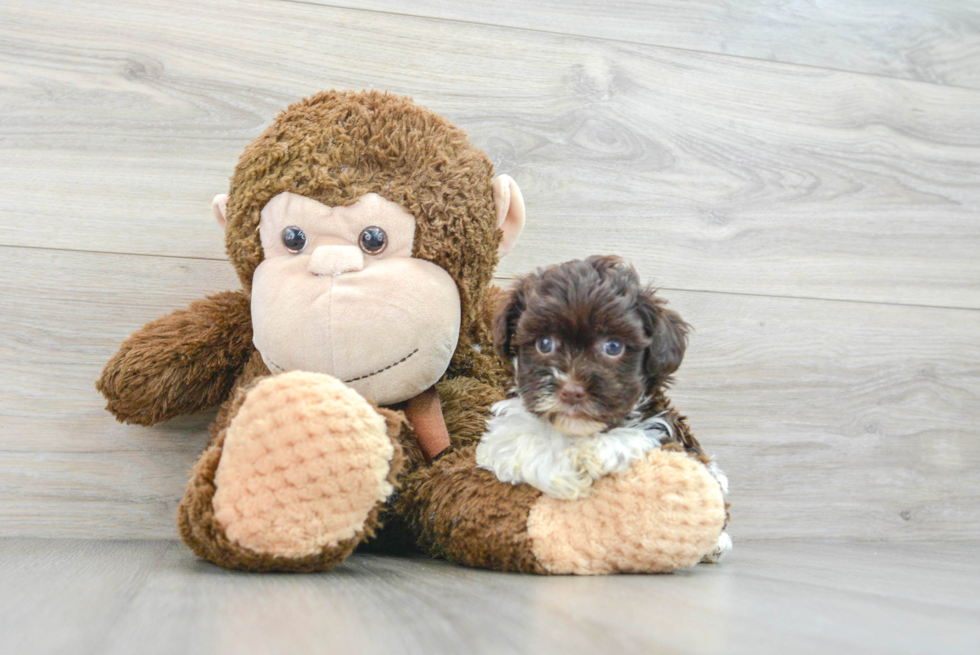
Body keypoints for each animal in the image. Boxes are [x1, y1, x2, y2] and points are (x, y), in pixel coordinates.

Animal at [474, 255, 728, 560]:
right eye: (545, 343)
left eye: (613, 347)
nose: (572, 391)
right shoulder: (504, 431)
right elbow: (519, 444)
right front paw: (564, 476)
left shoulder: (665, 431)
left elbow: (635, 437)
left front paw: (590, 455)